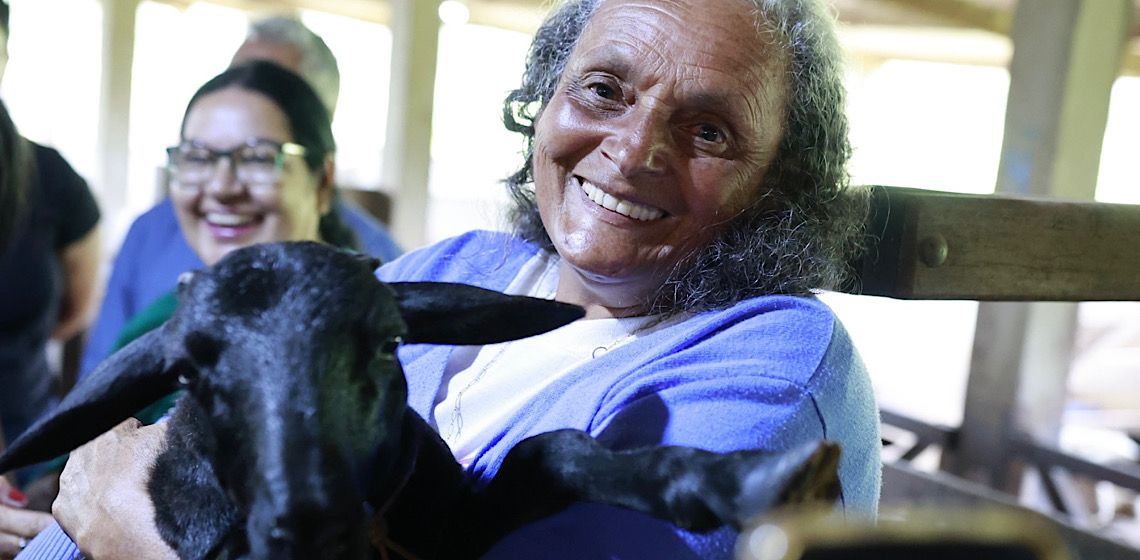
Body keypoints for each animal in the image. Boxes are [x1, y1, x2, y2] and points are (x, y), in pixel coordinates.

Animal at [0, 241, 839, 560]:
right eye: (189, 373)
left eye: (385, 341)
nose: (310, 521)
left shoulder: (456, 527)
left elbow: (549, 452)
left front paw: (733, 478)